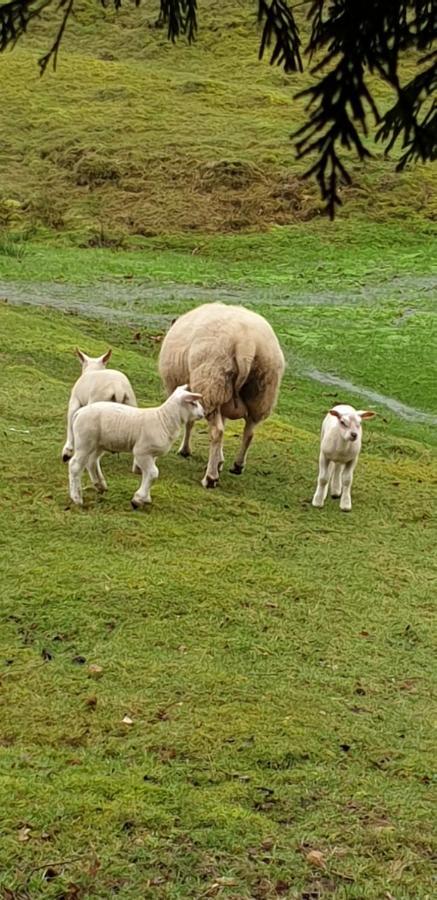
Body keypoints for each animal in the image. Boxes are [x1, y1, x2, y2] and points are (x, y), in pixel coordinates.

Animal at [68, 384, 204, 510]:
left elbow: (147, 474)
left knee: (91, 461)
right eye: (193, 403)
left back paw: (100, 485)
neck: (163, 420)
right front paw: (138, 499)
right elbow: (153, 473)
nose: (203, 413)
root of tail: (79, 412)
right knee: (75, 465)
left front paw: (145, 497)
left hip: (98, 444)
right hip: (85, 442)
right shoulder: (141, 451)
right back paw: (76, 498)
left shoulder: (152, 454)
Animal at [158, 300, 284, 486]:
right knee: (249, 431)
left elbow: (190, 422)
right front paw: (220, 461)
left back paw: (210, 478)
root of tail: (246, 345)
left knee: (217, 432)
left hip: (210, 383)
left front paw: (185, 450)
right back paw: (237, 465)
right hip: (260, 392)